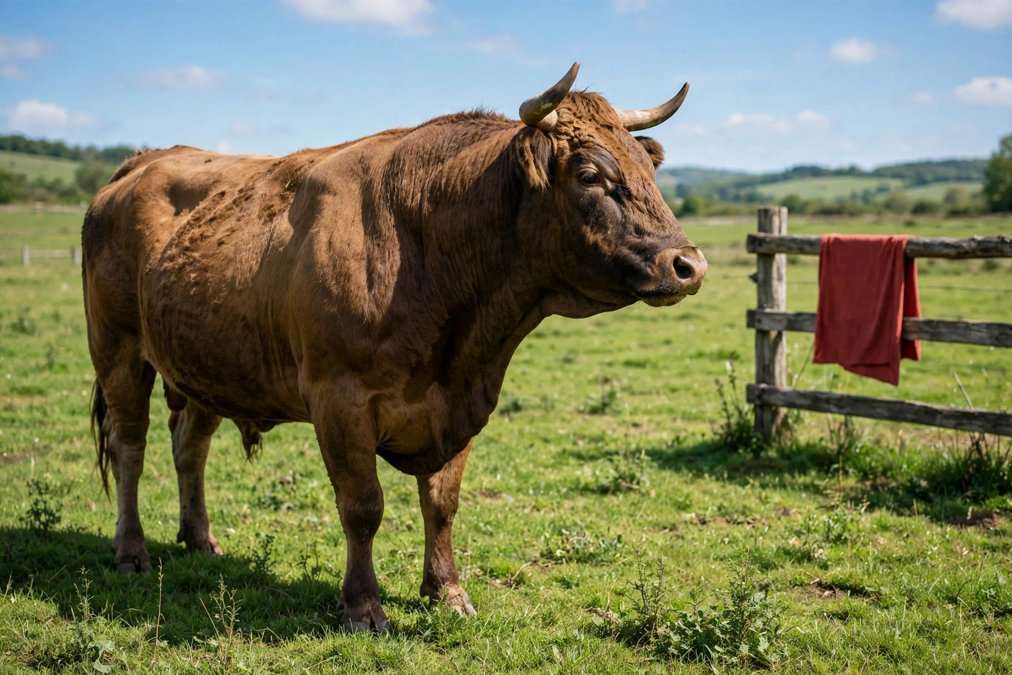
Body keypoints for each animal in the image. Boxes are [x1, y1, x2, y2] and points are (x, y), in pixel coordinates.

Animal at [82, 63, 707, 632]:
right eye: (590, 174)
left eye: (647, 167)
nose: (688, 264)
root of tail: (143, 162)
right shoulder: (339, 400)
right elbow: (363, 507)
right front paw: (363, 606)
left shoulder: (461, 400)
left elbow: (442, 504)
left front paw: (447, 593)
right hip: (118, 352)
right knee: (130, 446)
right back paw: (132, 551)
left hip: (203, 365)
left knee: (190, 446)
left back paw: (200, 540)